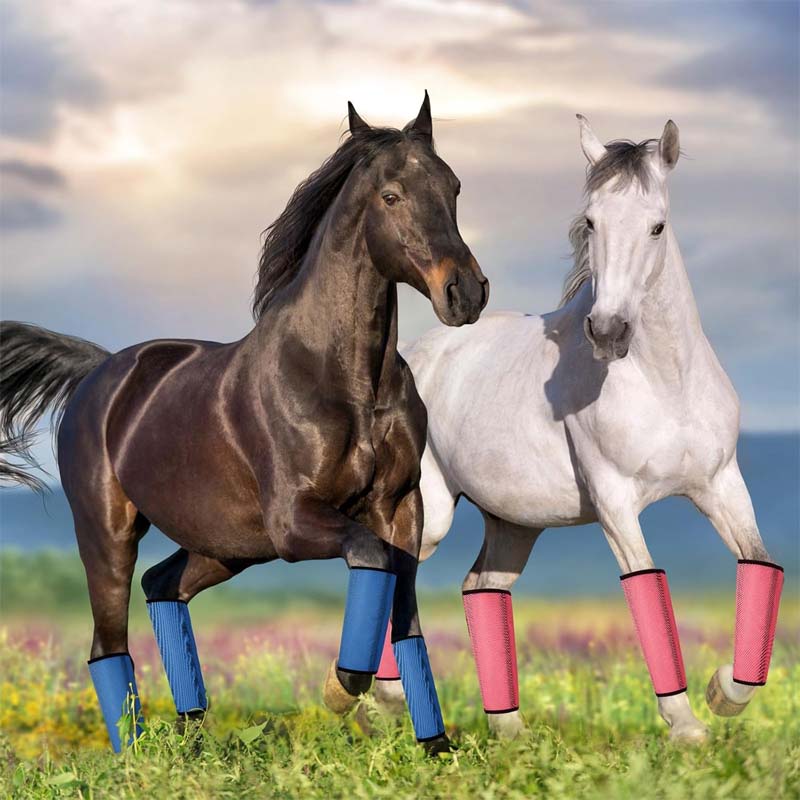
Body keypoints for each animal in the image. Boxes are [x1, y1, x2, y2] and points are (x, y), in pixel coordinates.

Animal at [0, 93, 489, 755]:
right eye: (391, 195)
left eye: (453, 186)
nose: (466, 293)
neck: (345, 380)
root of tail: (100, 372)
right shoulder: (295, 520)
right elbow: (370, 559)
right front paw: (343, 685)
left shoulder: (399, 507)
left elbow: (405, 615)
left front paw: (437, 749)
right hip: (109, 534)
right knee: (107, 644)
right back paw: (138, 758)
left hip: (227, 546)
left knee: (162, 586)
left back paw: (191, 739)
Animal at [368, 116, 784, 743]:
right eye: (591, 221)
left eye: (657, 225)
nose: (609, 331)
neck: (665, 383)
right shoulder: (615, 501)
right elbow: (646, 583)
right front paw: (687, 726)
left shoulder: (720, 485)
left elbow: (757, 565)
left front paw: (723, 692)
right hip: (432, 512)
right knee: (394, 571)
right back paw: (380, 698)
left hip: (514, 524)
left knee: (481, 588)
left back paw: (509, 729)